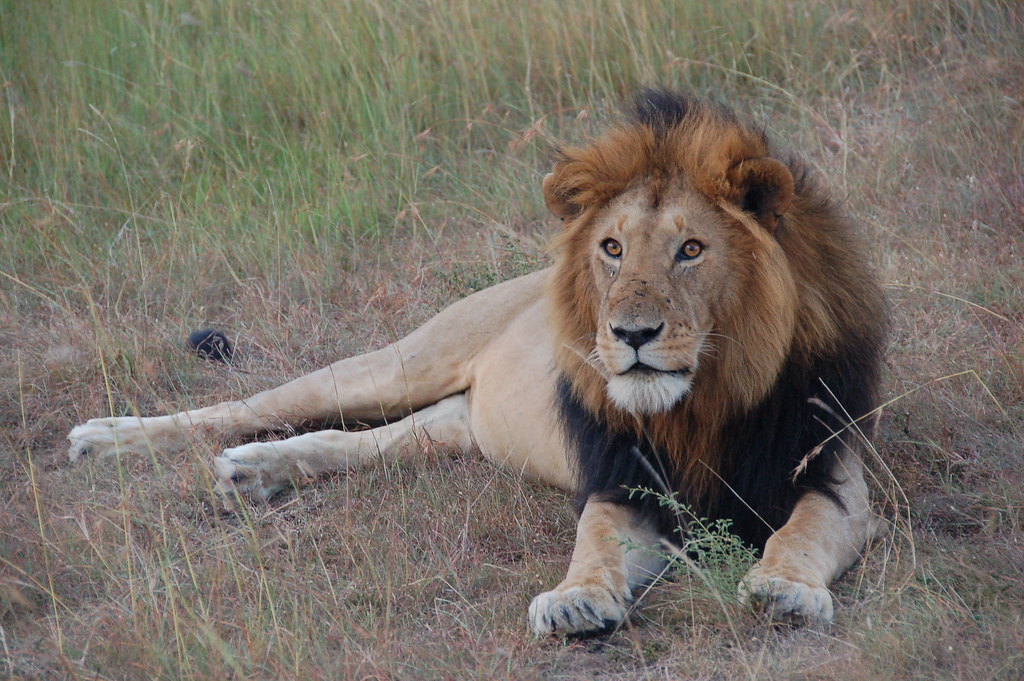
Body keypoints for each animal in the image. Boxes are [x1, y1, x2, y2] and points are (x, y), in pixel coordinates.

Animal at [68, 89, 886, 636]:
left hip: (452, 426)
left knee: (350, 441)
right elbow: (594, 542)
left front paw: (783, 589)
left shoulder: (832, 471)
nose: (630, 333)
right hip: (399, 362)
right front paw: (576, 600)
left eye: (691, 249)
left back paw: (255, 473)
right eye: (612, 248)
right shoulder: (619, 478)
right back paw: (106, 439)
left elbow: (801, 531)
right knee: (253, 406)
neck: (703, 401)